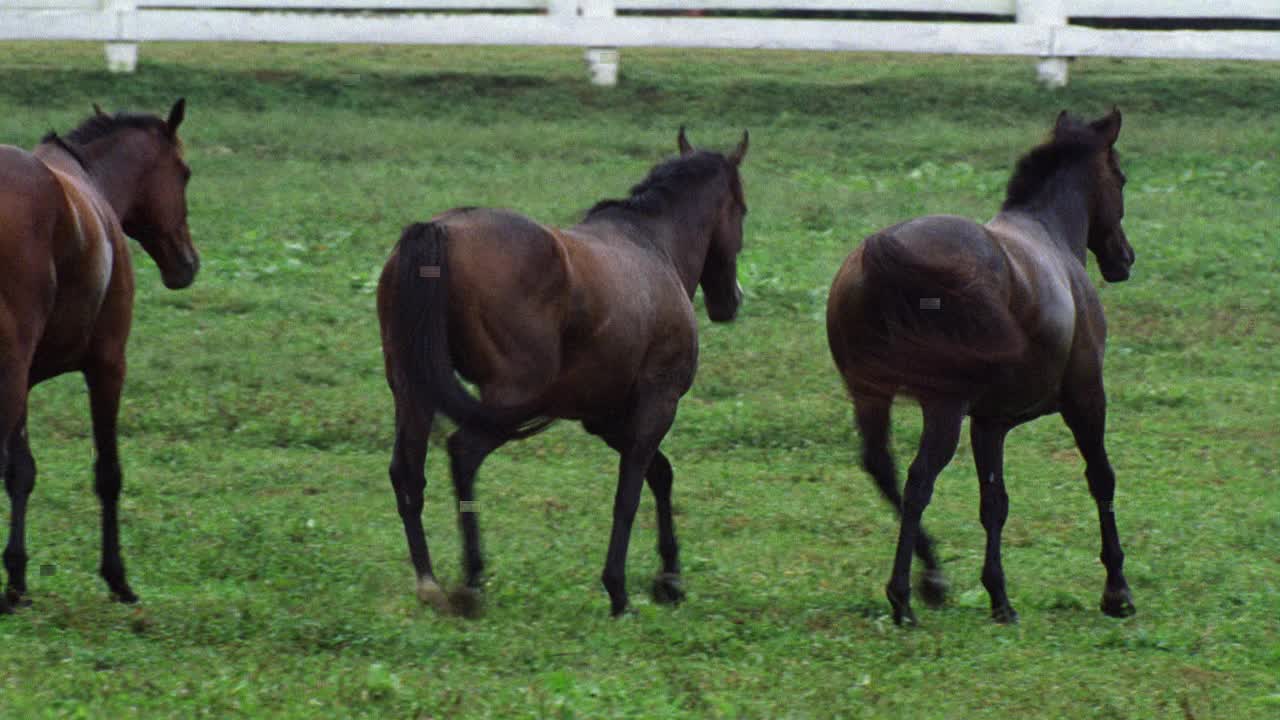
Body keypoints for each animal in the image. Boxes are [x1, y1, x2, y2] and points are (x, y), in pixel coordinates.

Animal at [0, 101, 197, 614]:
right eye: (185, 173)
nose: (189, 263)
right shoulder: (108, 366)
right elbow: (108, 472)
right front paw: (117, 577)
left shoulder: (24, 379)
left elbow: (20, 473)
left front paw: (17, 577)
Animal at [373, 126, 747, 614]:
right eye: (742, 209)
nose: (732, 300)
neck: (652, 245)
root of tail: (437, 230)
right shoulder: (656, 402)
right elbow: (629, 492)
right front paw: (619, 590)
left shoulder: (603, 415)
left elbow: (660, 474)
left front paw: (669, 578)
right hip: (509, 397)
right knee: (464, 453)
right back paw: (471, 578)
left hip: (412, 388)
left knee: (407, 471)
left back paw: (429, 581)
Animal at [829, 107, 1141, 622]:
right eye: (1121, 178)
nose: (1125, 257)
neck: (1048, 236)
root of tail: (880, 253)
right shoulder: (1086, 398)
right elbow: (1101, 478)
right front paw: (1117, 589)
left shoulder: (990, 423)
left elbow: (993, 501)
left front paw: (999, 596)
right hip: (942, 406)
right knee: (918, 480)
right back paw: (902, 596)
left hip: (872, 394)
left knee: (882, 468)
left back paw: (932, 578)